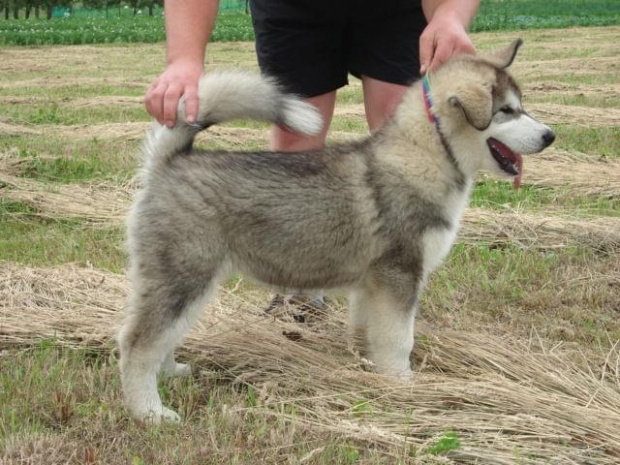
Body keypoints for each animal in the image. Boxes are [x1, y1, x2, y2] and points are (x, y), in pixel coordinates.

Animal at [118, 40, 556, 420]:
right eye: (507, 111)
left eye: (520, 107)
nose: (550, 135)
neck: (422, 157)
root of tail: (170, 161)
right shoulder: (400, 275)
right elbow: (400, 339)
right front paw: (403, 384)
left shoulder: (372, 284)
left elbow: (367, 333)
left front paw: (368, 369)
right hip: (183, 277)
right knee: (137, 342)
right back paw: (150, 412)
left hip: (191, 283)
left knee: (163, 334)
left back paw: (172, 372)